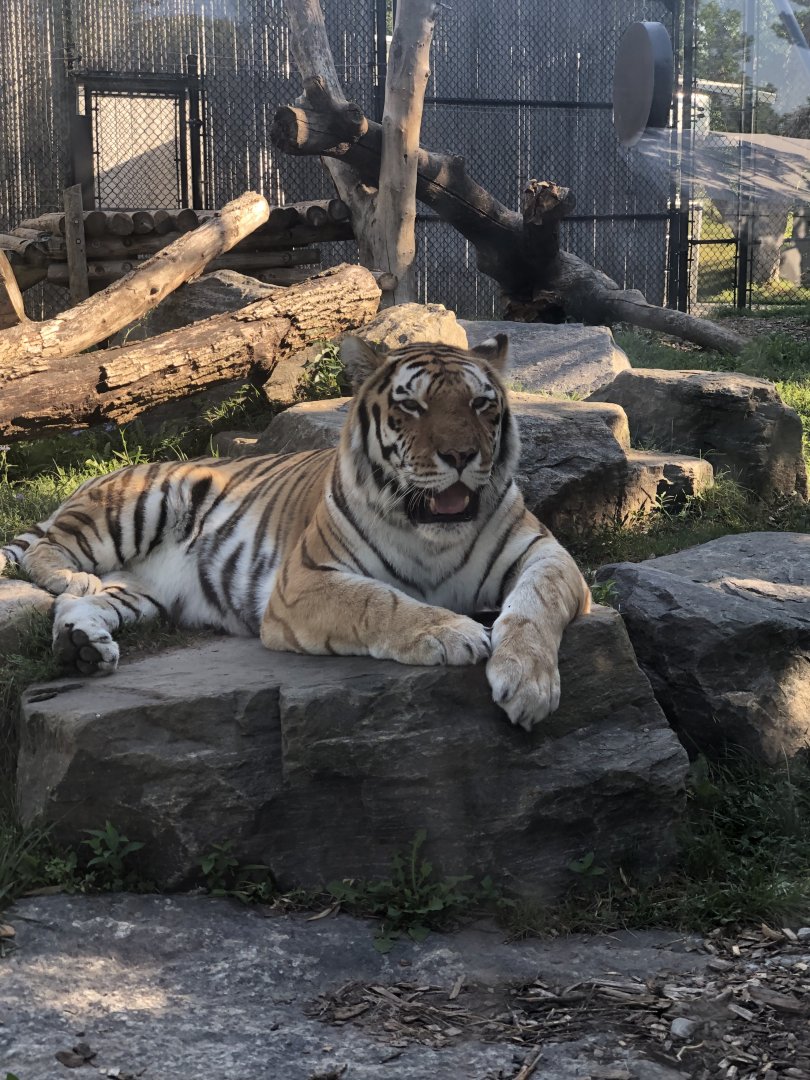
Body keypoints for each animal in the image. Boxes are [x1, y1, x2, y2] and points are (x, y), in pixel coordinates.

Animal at [1, 334, 590, 730]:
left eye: (481, 403)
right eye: (411, 405)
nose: (462, 456)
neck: (432, 533)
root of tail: (105, 474)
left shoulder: (547, 556)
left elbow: (535, 604)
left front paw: (528, 681)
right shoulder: (303, 581)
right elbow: (381, 602)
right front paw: (454, 632)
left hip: (142, 593)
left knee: (81, 604)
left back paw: (81, 646)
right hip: (137, 506)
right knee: (48, 552)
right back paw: (73, 581)